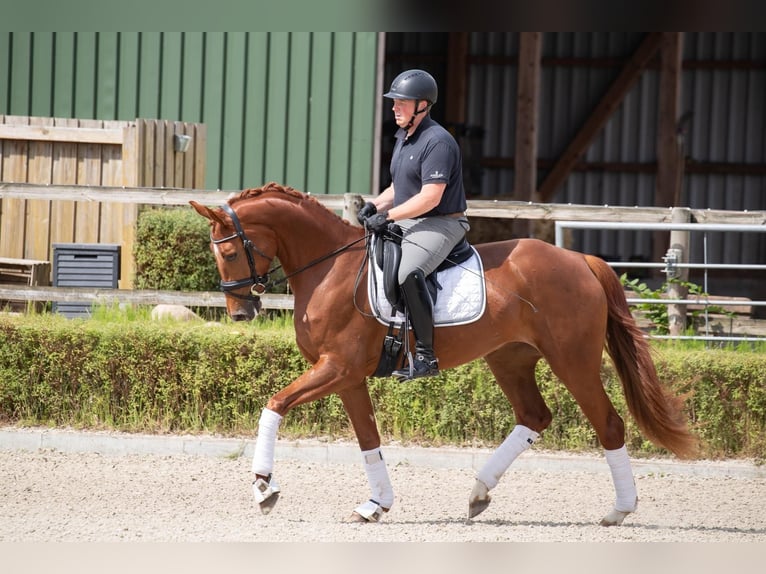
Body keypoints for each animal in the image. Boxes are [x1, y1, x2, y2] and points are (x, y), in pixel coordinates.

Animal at [189, 183, 700, 528]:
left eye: (229, 252)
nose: (240, 312)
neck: (330, 268)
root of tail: (581, 261)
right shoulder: (347, 376)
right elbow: (368, 440)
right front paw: (376, 505)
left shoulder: (336, 368)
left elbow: (273, 405)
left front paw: (263, 487)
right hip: (510, 358)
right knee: (534, 416)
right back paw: (478, 493)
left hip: (572, 360)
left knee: (608, 424)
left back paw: (619, 510)